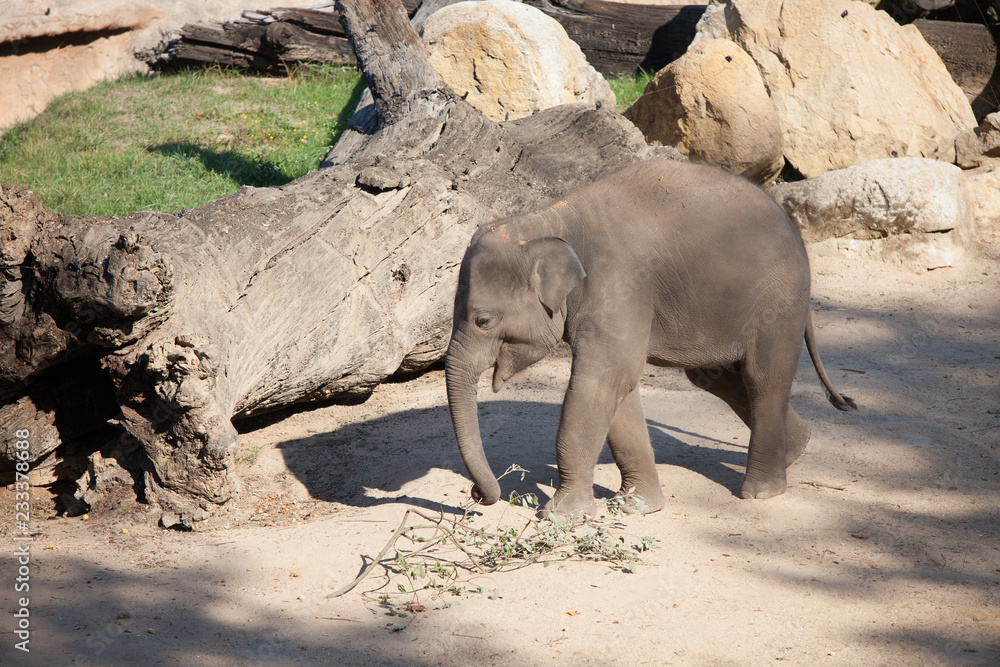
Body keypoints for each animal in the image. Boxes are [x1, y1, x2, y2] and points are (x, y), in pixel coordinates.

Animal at [444, 159, 856, 517]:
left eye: (483, 320)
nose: (479, 494)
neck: (547, 217)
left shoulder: (620, 286)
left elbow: (601, 381)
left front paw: (561, 515)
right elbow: (618, 387)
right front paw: (636, 507)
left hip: (778, 300)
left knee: (762, 378)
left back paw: (761, 492)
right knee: (717, 379)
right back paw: (797, 448)